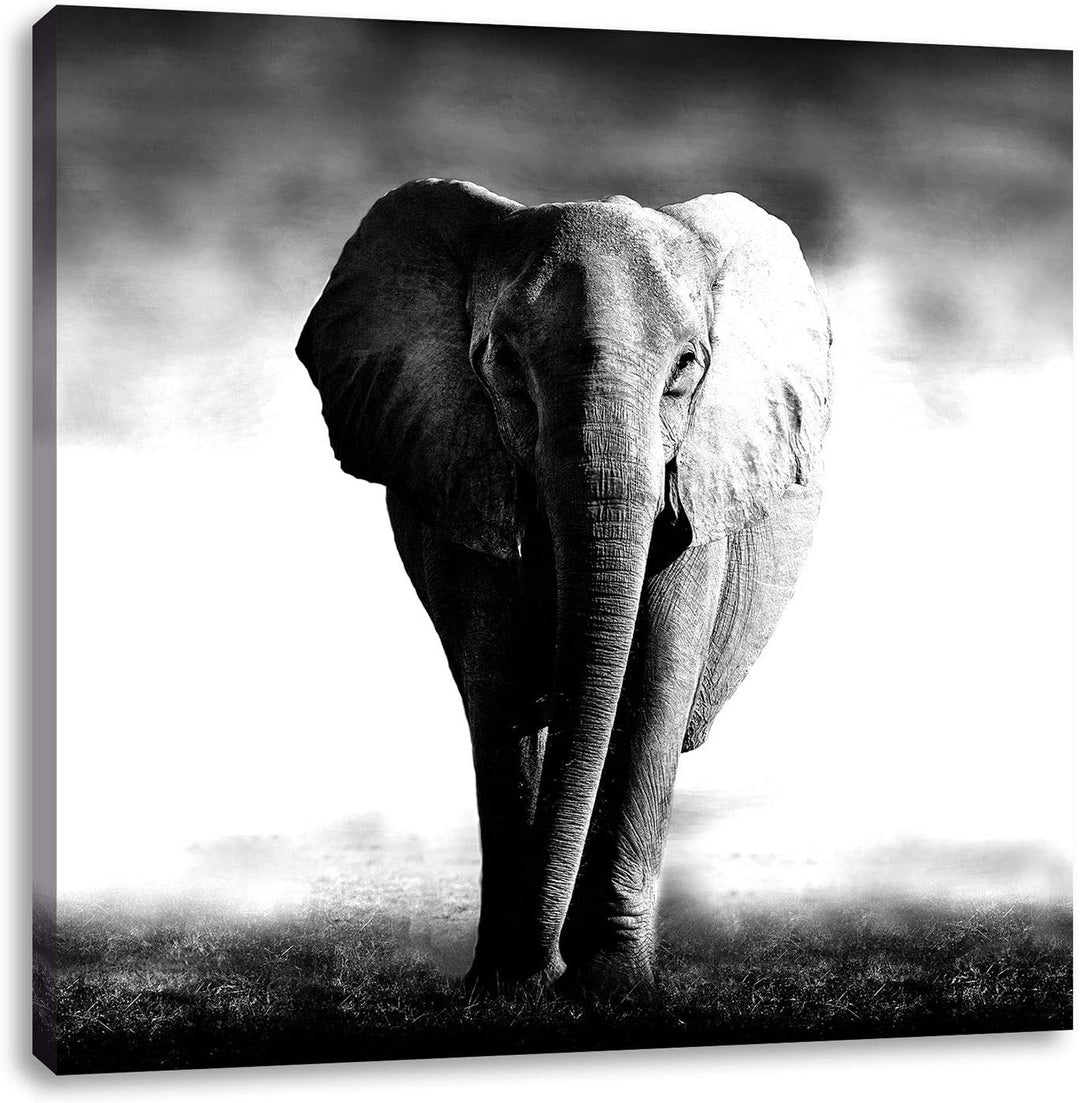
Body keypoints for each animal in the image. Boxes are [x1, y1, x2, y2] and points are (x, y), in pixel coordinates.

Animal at [296, 178, 831, 995]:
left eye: (686, 368)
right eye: (504, 366)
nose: (545, 967)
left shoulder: (698, 484)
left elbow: (650, 689)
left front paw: (610, 985)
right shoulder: (467, 468)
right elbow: (502, 690)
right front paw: (507, 985)